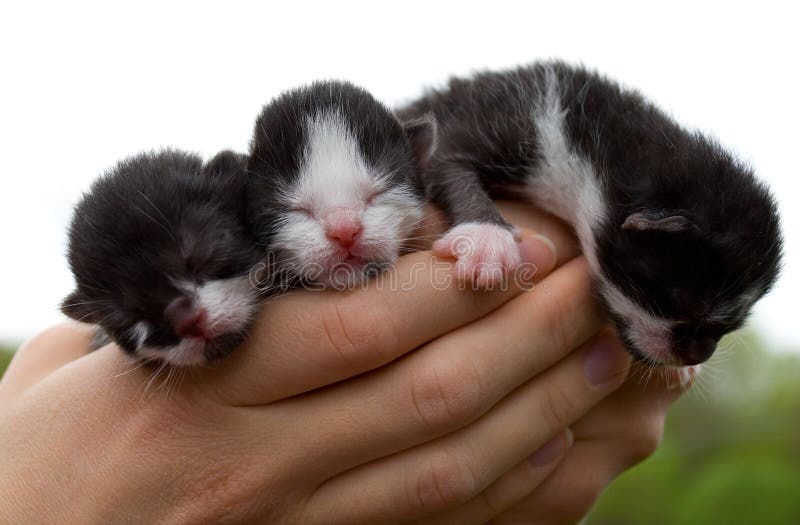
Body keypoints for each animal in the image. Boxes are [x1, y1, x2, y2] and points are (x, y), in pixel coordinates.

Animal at [400, 60, 780, 364]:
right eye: (683, 302)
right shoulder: (494, 119)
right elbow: (449, 165)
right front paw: (486, 239)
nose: (700, 355)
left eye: (734, 323)